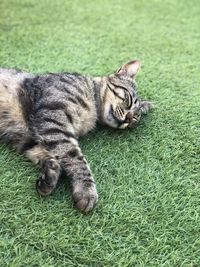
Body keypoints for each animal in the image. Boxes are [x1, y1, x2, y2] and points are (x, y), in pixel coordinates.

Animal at [0, 60, 152, 214]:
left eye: (136, 118)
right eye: (128, 99)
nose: (128, 119)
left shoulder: (29, 138)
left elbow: (46, 154)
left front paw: (50, 174)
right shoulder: (53, 117)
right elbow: (75, 158)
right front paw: (86, 190)